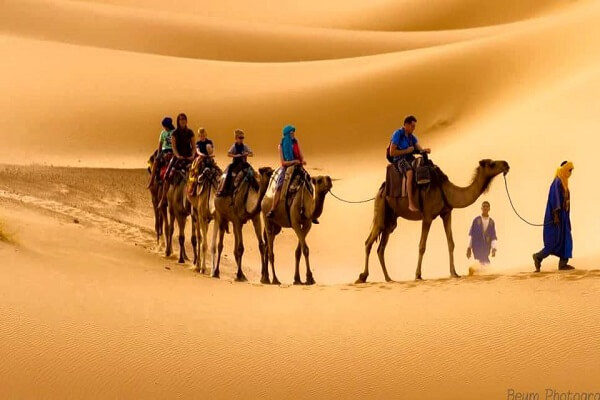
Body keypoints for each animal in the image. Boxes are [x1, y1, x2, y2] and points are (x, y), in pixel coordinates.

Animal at [356, 158, 510, 282]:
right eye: (492, 164)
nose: (506, 164)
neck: (447, 191)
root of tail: (381, 189)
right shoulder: (428, 215)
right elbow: (422, 246)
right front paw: (418, 275)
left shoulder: (446, 213)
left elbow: (451, 243)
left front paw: (454, 273)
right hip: (381, 210)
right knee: (368, 242)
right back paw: (362, 277)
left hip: (391, 220)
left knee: (381, 248)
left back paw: (388, 278)